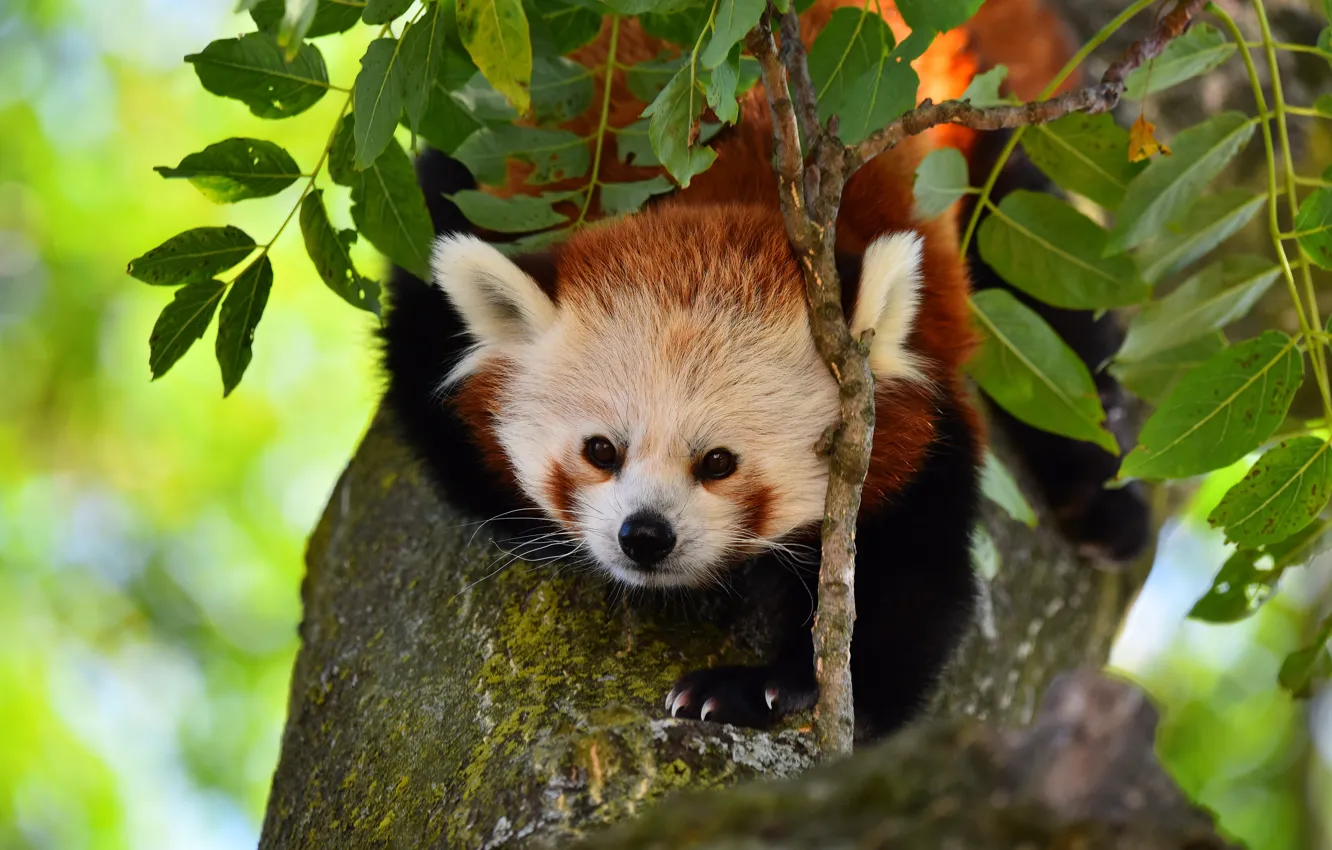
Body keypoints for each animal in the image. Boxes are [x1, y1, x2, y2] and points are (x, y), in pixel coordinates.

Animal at [379, 0, 1151, 736]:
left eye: (719, 462)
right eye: (600, 450)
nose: (644, 535)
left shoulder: (907, 398)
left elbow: (912, 578)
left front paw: (766, 687)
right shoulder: (488, 203)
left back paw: (1102, 503)